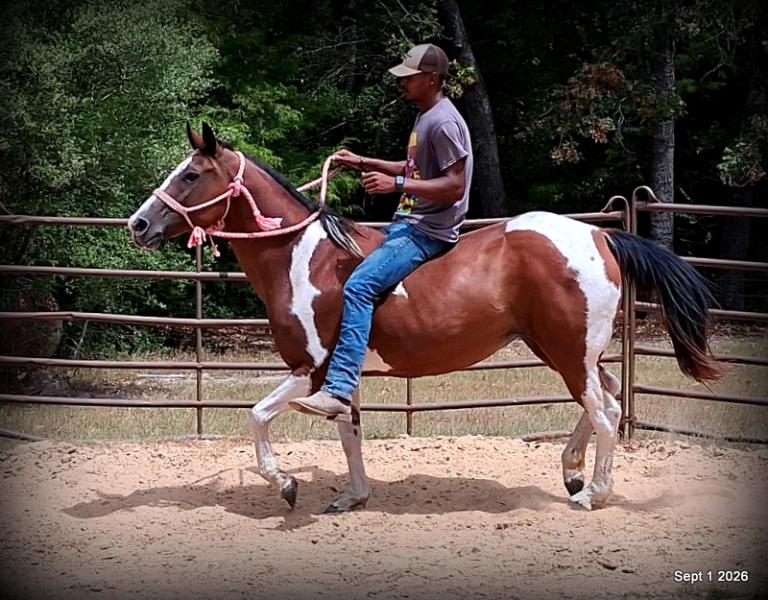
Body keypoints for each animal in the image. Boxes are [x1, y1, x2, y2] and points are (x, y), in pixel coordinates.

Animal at [128, 123, 720, 513]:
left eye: (191, 174)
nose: (138, 224)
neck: (301, 256)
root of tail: (600, 235)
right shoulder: (341, 376)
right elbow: (348, 430)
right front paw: (352, 496)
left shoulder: (311, 369)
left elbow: (257, 415)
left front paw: (287, 484)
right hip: (565, 350)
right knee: (608, 399)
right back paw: (573, 475)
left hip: (569, 351)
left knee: (604, 411)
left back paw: (592, 493)